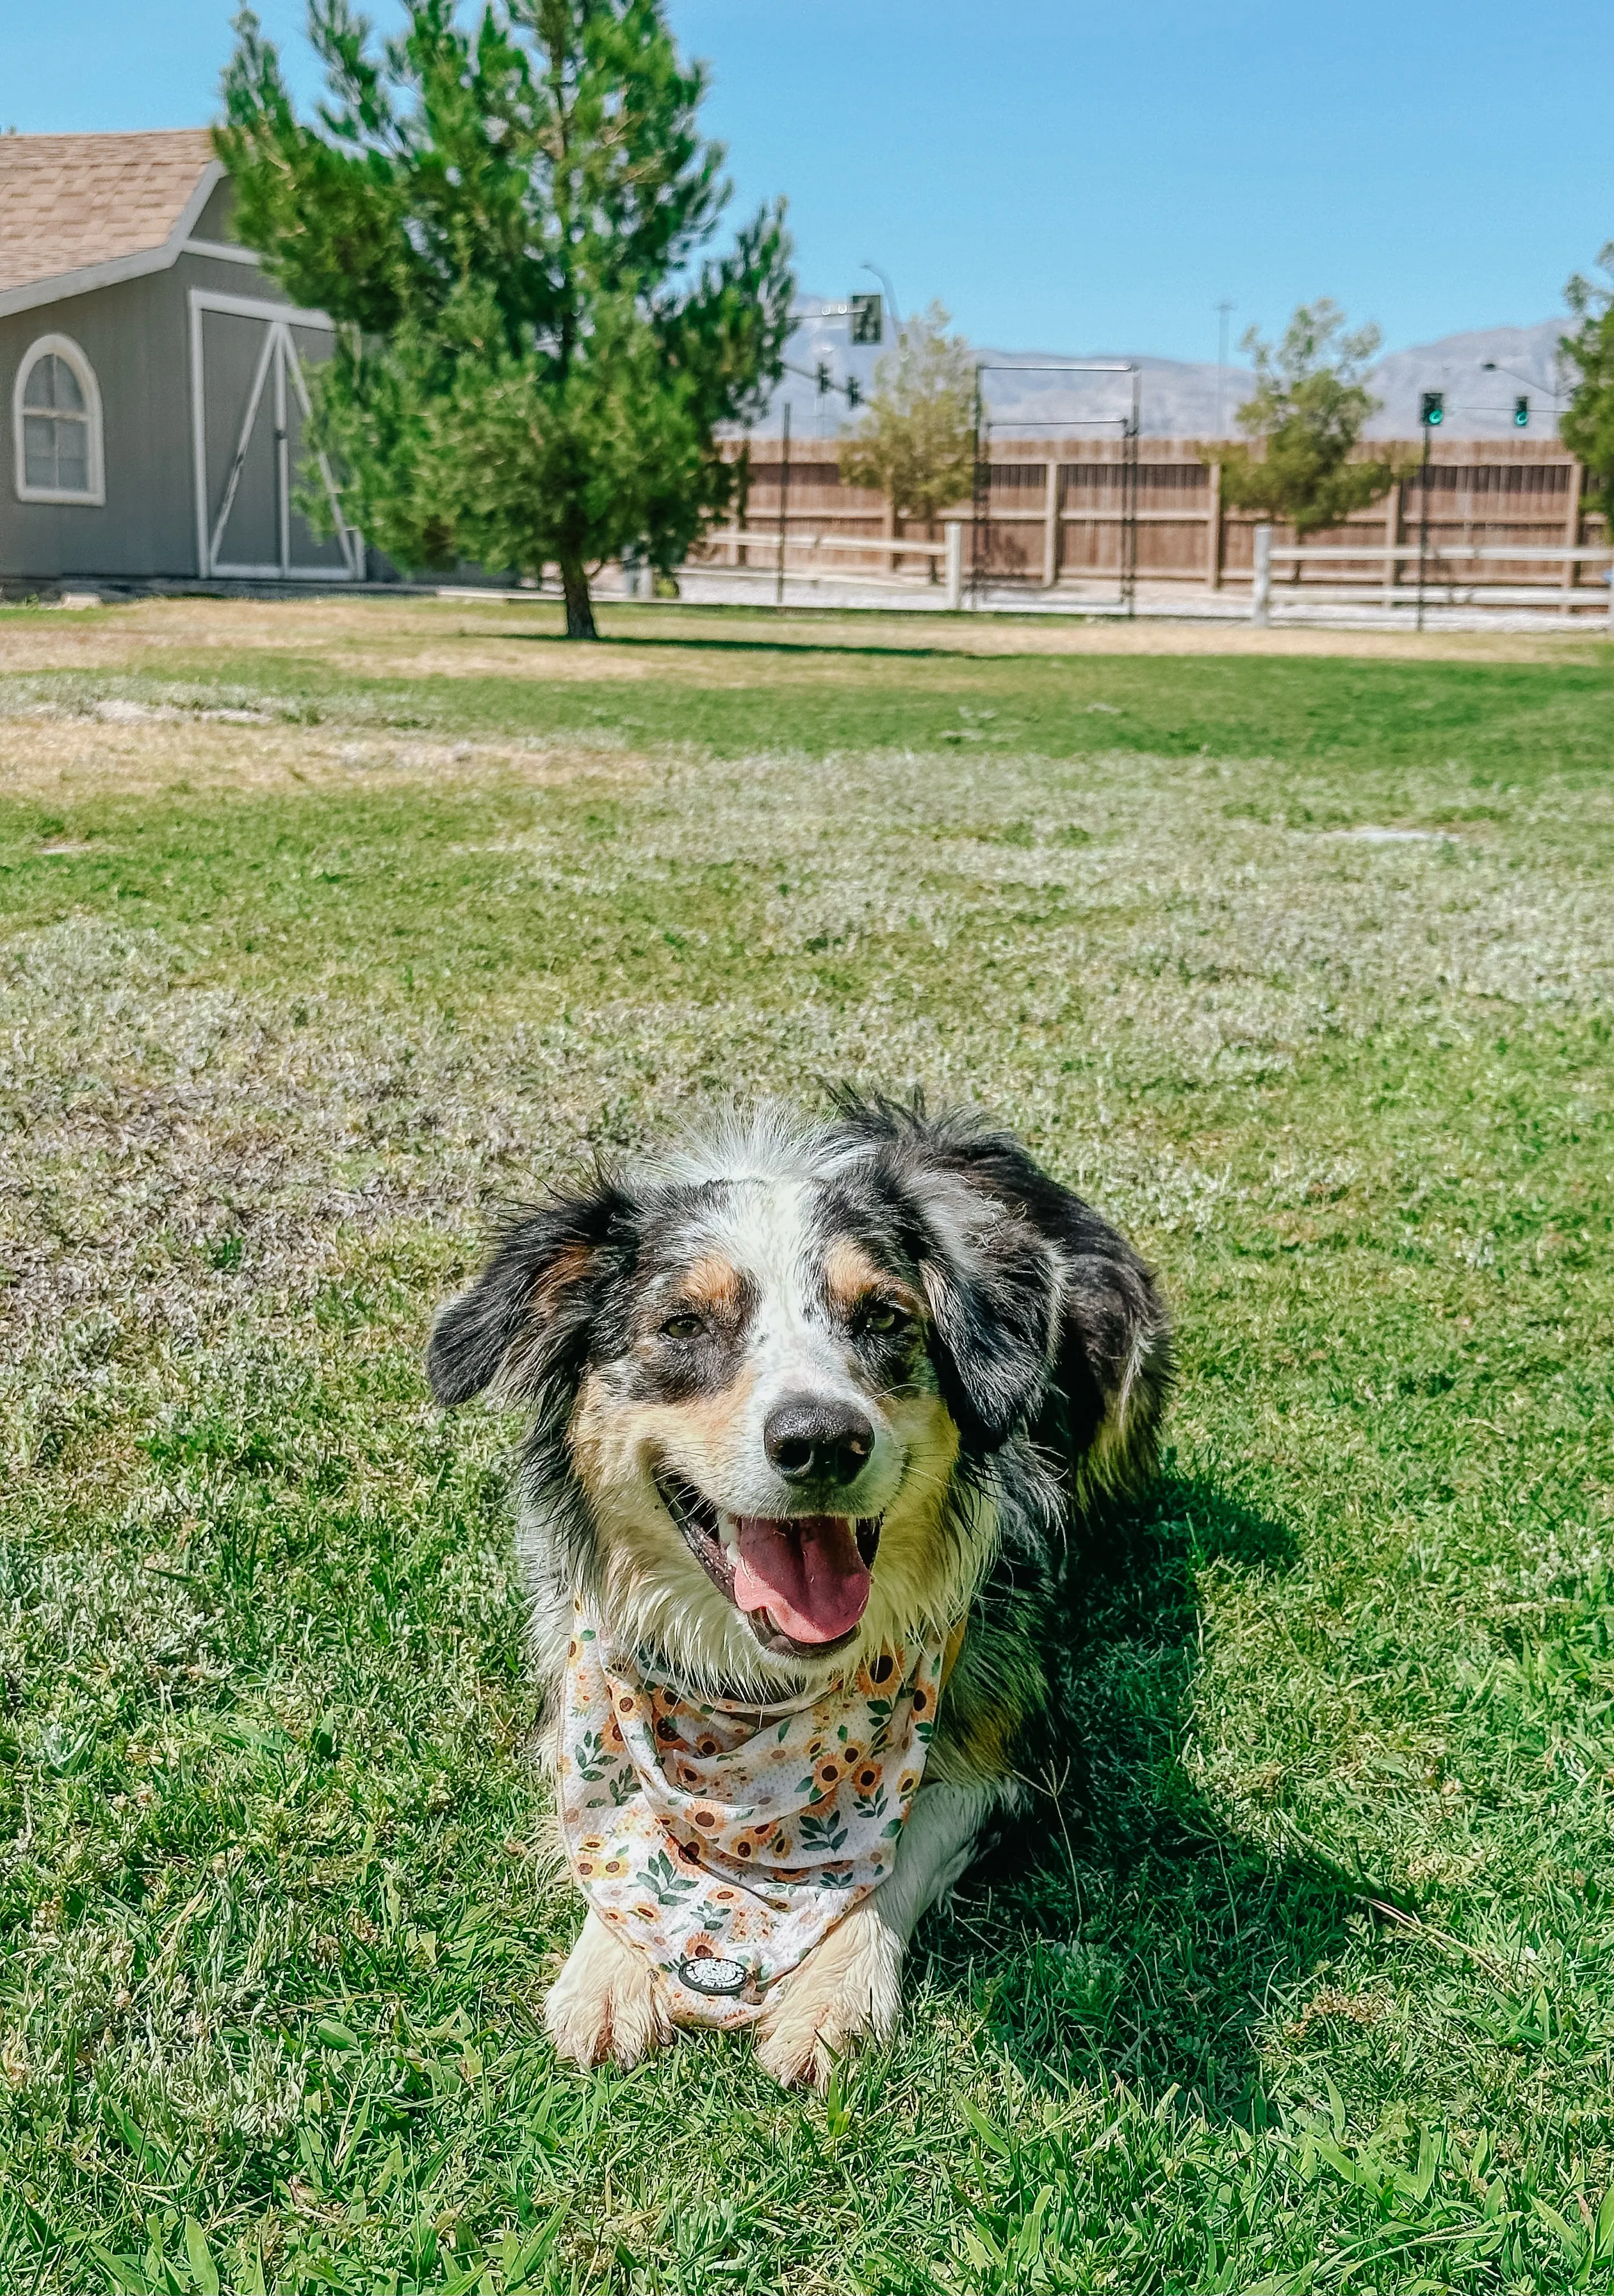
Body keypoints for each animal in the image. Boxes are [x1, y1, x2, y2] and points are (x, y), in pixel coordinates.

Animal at [422, 1092, 1166, 2085]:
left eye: (885, 1318)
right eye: (684, 1326)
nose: (822, 1440)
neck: (758, 1701)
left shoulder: (1020, 1741)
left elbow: (896, 1849)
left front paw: (832, 1994)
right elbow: (619, 1831)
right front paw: (610, 1970)